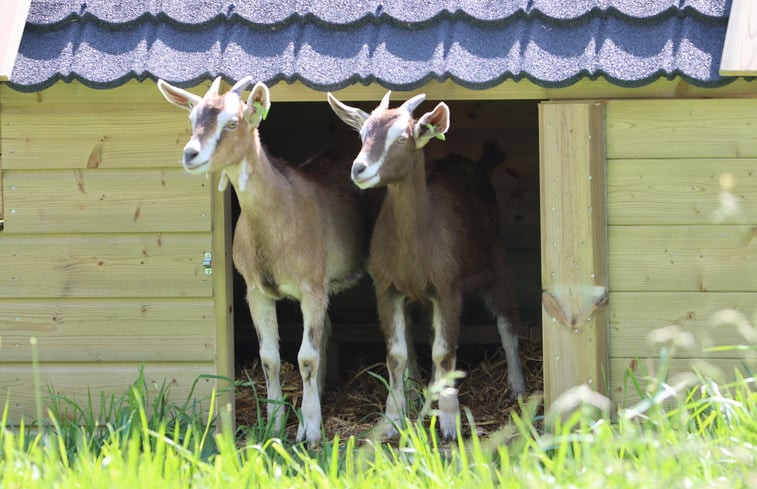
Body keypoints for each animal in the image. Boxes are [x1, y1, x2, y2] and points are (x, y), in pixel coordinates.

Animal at [157, 77, 366, 446]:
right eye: (192, 118)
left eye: (232, 122)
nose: (190, 154)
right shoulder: (256, 290)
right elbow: (270, 358)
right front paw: (273, 425)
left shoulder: (311, 287)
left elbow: (306, 357)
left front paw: (310, 431)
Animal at [328, 90, 524, 438]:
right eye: (362, 134)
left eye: (402, 137)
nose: (359, 169)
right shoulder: (387, 288)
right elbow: (397, 354)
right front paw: (393, 418)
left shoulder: (448, 288)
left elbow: (445, 352)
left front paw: (449, 420)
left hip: (495, 260)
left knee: (506, 321)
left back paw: (517, 387)